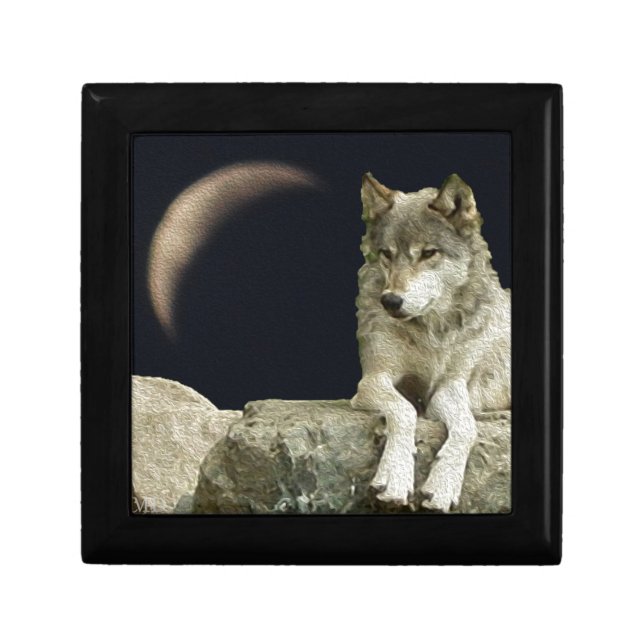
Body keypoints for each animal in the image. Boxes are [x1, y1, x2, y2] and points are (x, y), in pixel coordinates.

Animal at [350, 172, 511, 511]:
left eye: (428, 253)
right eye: (386, 254)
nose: (391, 301)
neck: (430, 333)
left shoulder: (448, 387)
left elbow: (466, 427)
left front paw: (442, 486)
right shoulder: (373, 380)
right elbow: (403, 410)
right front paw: (395, 478)